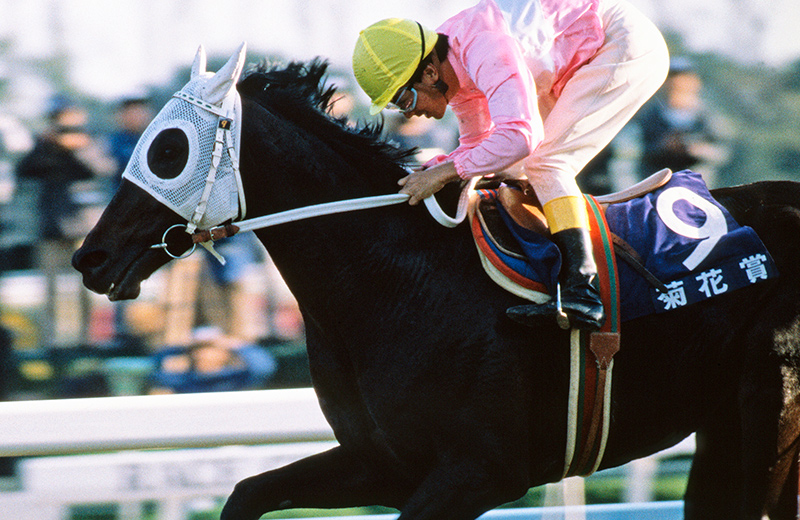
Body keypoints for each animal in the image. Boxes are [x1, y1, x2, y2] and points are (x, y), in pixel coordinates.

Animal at [72, 44, 800, 520]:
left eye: (168, 150)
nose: (90, 259)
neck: (397, 283)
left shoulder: (482, 471)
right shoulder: (383, 462)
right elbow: (247, 493)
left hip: (771, 418)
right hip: (725, 430)